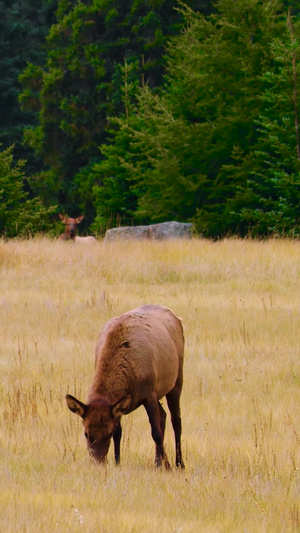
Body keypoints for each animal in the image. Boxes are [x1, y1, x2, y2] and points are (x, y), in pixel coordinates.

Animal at [65, 306, 185, 468]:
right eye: (86, 433)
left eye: (107, 433)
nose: (98, 462)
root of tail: (176, 317)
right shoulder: (119, 405)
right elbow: (119, 433)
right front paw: (117, 462)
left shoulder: (149, 393)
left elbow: (156, 433)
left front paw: (164, 466)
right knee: (164, 416)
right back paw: (162, 461)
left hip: (177, 379)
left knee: (176, 421)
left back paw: (179, 463)